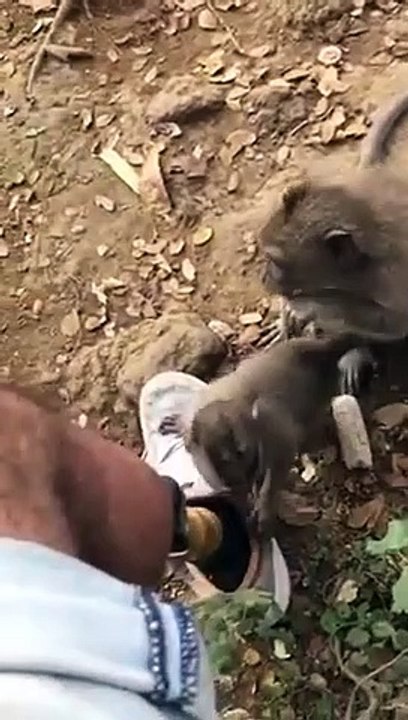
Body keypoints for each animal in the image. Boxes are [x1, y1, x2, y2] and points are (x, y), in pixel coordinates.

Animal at [186, 334, 359, 539]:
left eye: (241, 452)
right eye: (226, 461)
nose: (239, 479)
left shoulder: (268, 419)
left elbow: (282, 455)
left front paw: (264, 504)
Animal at [260, 91, 408, 395]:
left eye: (275, 262)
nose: (264, 278)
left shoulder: (392, 278)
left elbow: (393, 322)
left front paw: (308, 307)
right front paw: (288, 312)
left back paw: (354, 353)